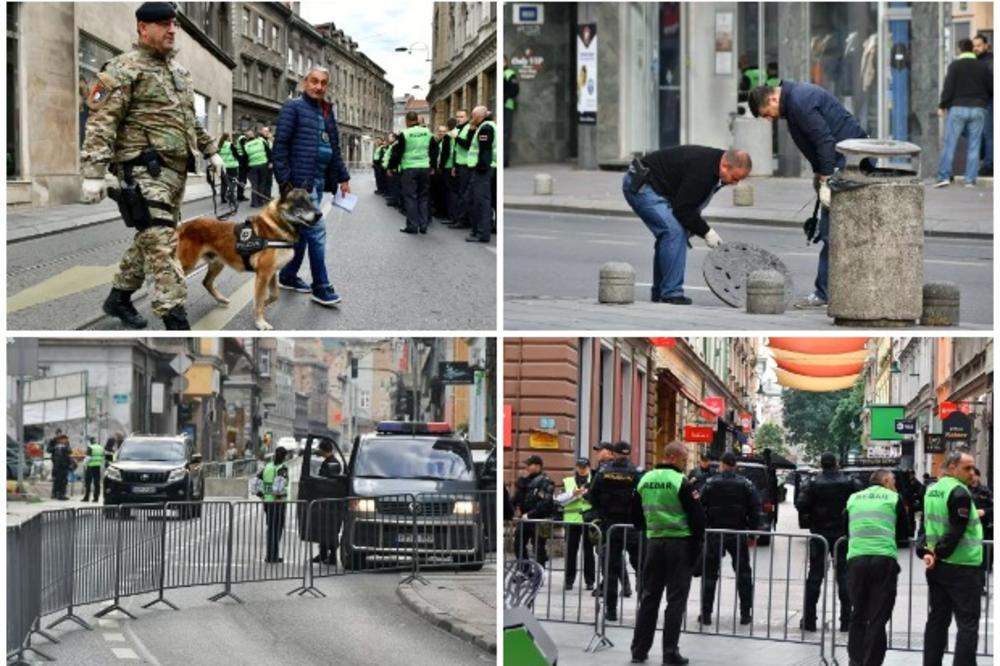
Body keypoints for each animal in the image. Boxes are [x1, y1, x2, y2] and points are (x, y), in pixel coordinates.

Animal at [176, 188, 322, 328]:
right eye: (299, 201)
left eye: (311, 200)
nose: (319, 214)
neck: (278, 224)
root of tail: (184, 225)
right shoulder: (263, 275)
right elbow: (259, 300)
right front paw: (260, 322)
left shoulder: (272, 273)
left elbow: (274, 295)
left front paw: (264, 303)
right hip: (187, 265)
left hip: (218, 263)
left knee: (206, 282)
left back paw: (221, 299)